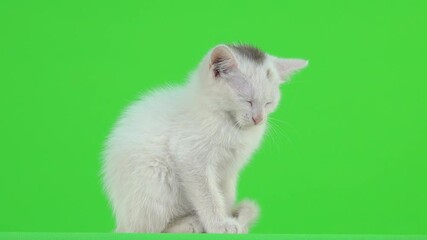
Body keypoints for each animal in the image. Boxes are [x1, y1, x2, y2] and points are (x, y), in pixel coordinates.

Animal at [103, 44, 310, 233]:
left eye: (269, 103)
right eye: (247, 100)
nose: (259, 119)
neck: (230, 124)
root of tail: (121, 222)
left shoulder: (228, 171)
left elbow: (224, 195)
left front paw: (230, 218)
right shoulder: (190, 157)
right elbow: (208, 195)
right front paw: (220, 224)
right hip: (155, 179)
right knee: (145, 228)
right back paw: (189, 223)